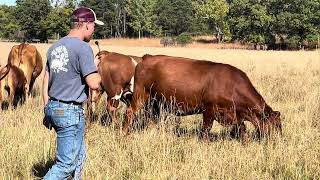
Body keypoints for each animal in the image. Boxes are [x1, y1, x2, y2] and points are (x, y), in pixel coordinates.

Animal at [124, 54, 282, 139]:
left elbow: (242, 130)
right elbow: (205, 130)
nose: (279, 140)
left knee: (152, 120)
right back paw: (124, 133)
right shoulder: (209, 110)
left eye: (280, 125)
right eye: (275, 125)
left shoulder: (234, 115)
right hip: (141, 94)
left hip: (156, 103)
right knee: (130, 112)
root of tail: (147, 57)